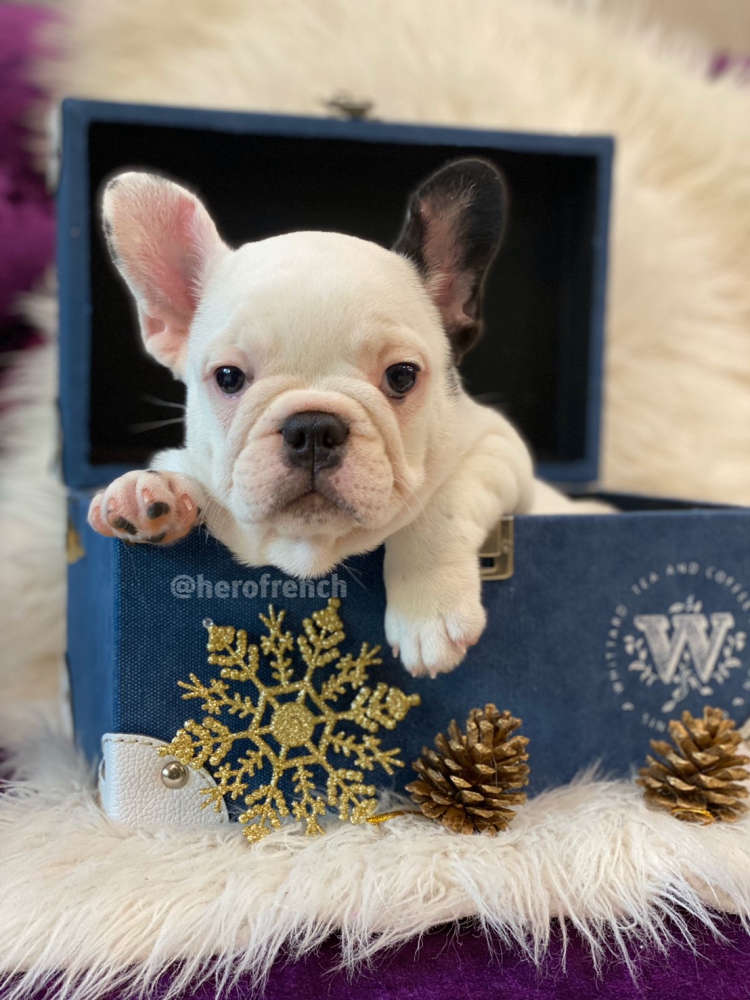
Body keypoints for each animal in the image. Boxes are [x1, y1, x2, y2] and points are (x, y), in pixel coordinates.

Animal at [88, 159, 534, 677]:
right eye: (228, 378)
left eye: (402, 376)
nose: (314, 427)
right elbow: (178, 473)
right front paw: (147, 490)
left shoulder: (498, 448)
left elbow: (441, 506)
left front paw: (430, 611)